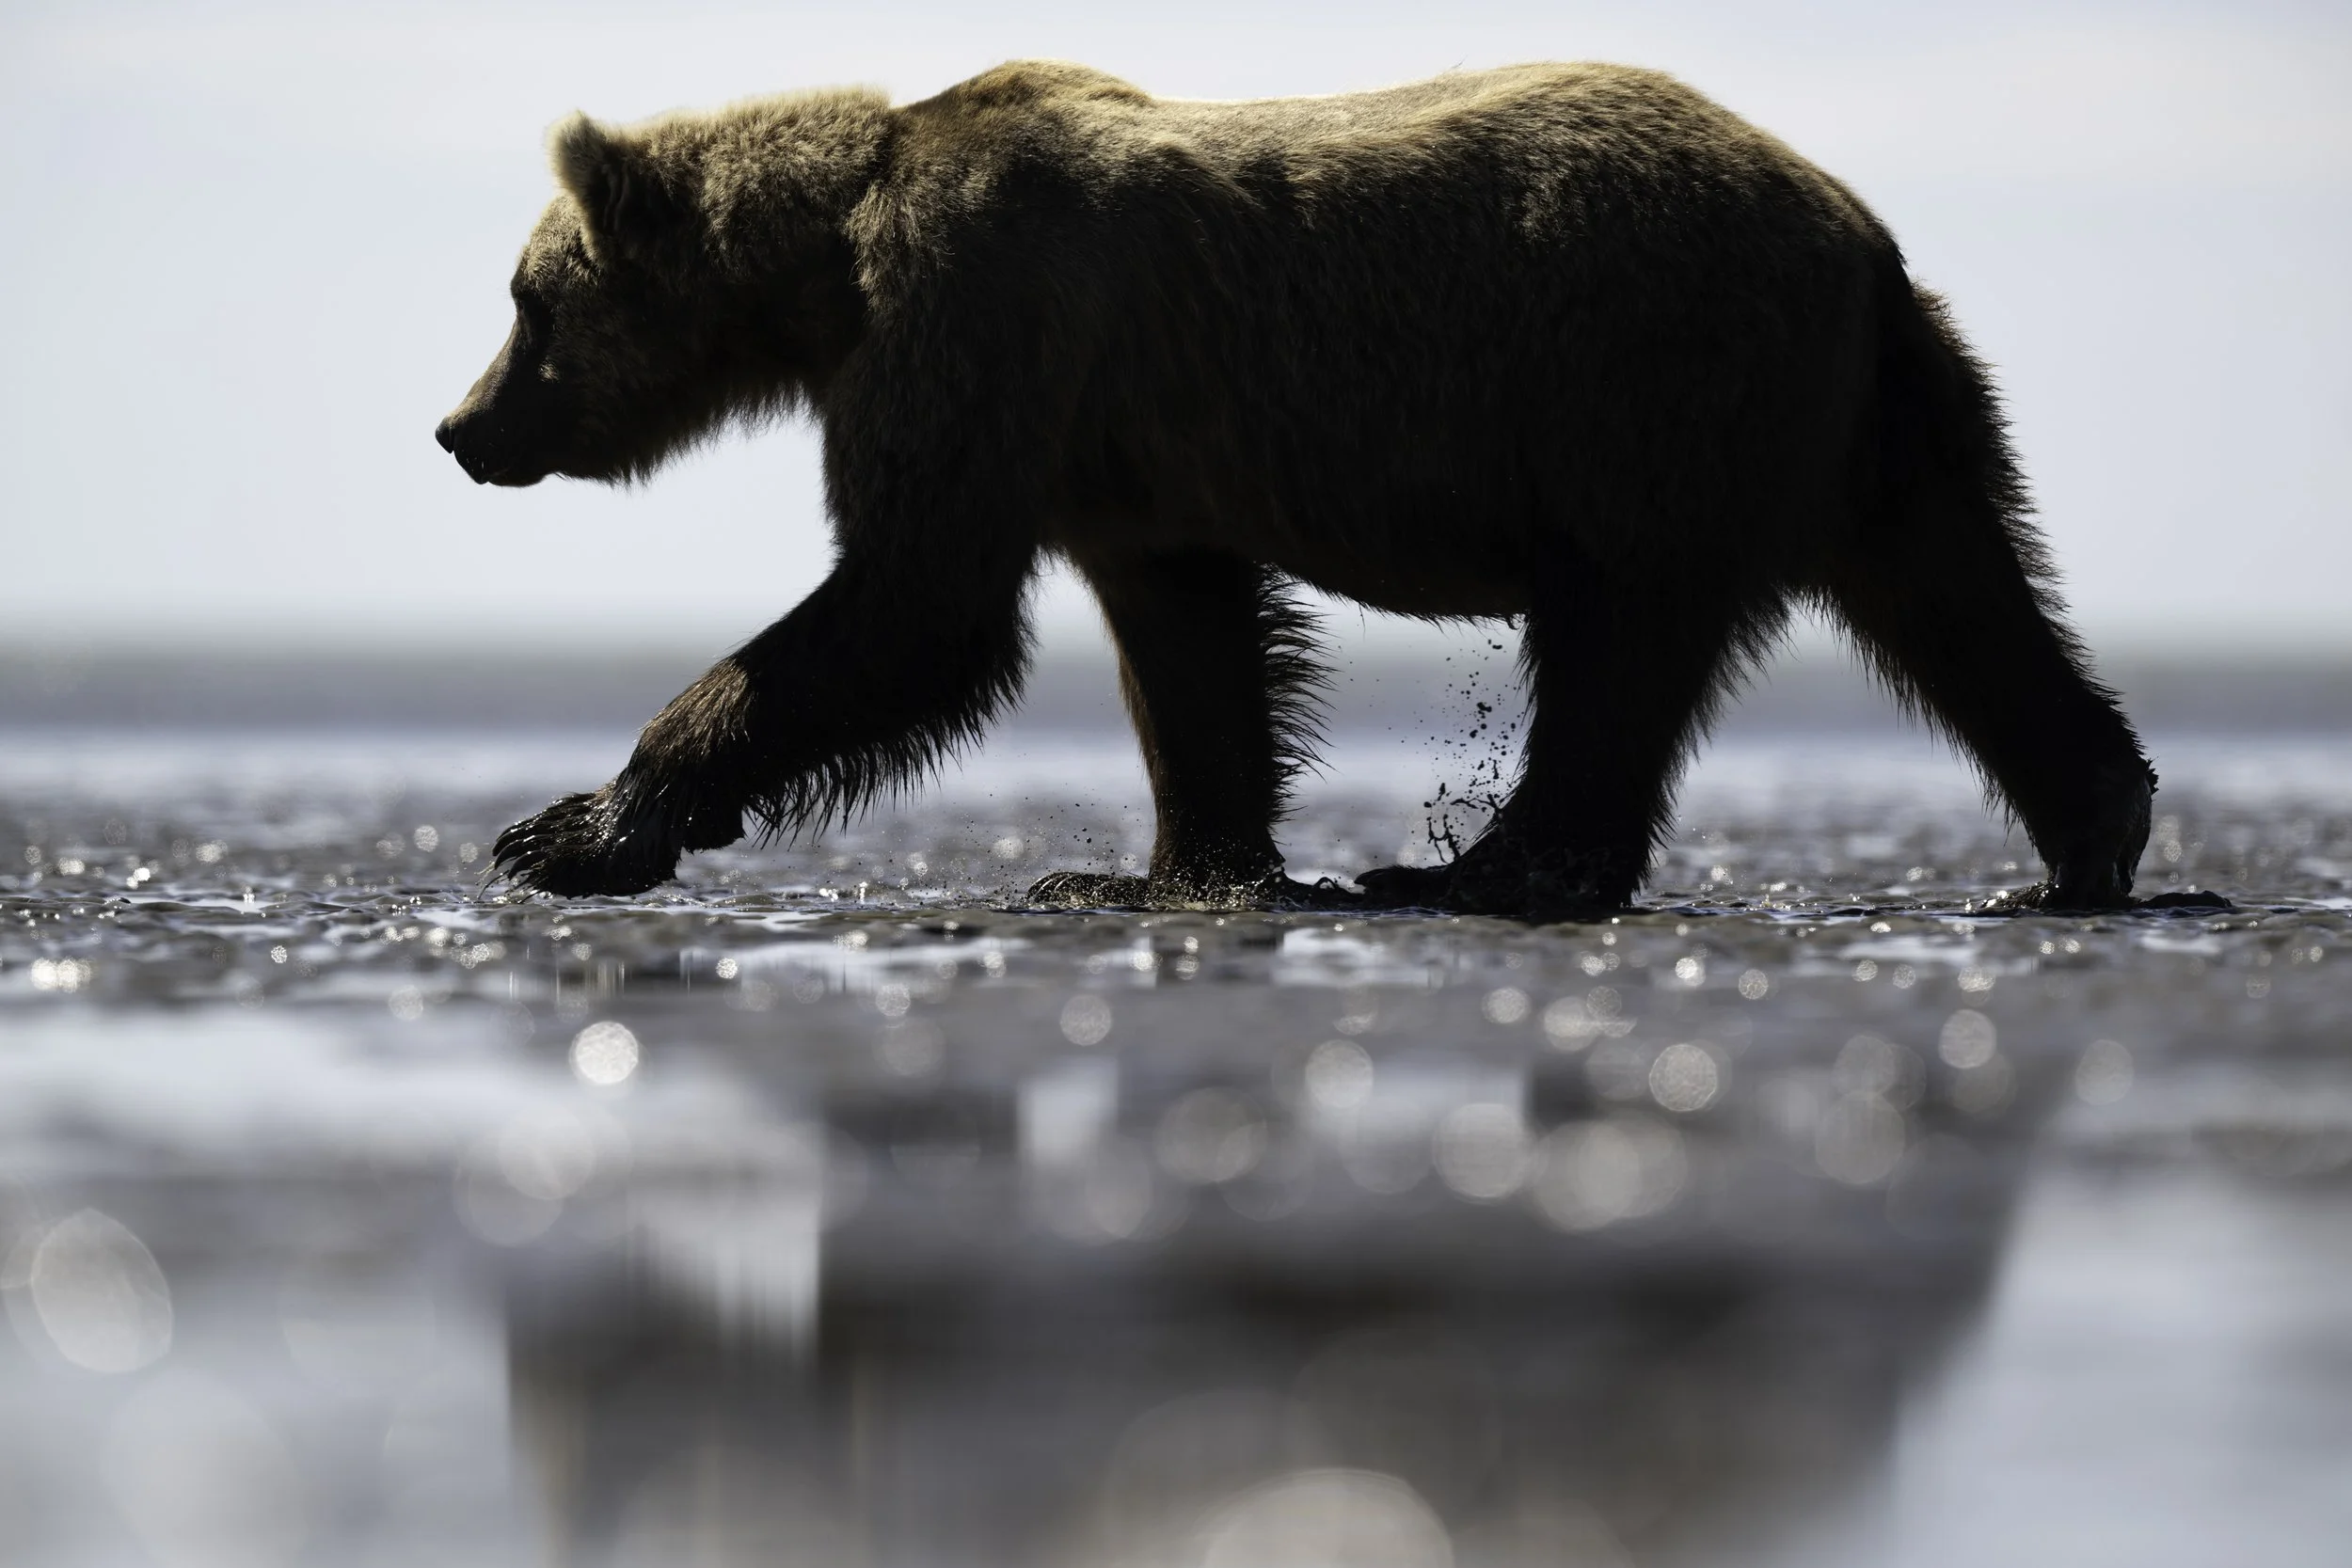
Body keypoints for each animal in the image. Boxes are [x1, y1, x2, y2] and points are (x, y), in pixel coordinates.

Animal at [436, 60, 2156, 919]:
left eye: (528, 300)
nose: (459, 427)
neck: (831, 268)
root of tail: (1863, 233)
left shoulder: (981, 325)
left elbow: (913, 595)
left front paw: (571, 828)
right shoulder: (1126, 457)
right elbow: (1190, 645)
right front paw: (1164, 866)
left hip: (1648, 378)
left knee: (1623, 639)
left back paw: (1487, 867)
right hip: (1878, 414)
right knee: (1960, 594)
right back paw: (2089, 835)